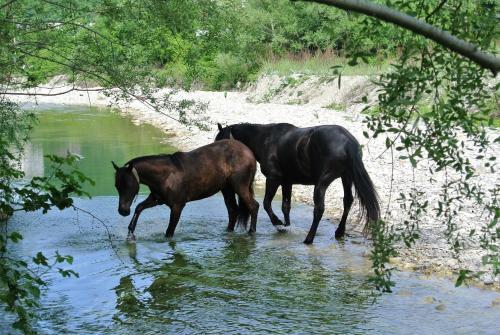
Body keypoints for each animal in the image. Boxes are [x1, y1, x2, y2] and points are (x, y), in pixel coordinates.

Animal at [113, 140, 260, 242]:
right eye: (117, 186)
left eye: (129, 185)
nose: (122, 211)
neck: (166, 175)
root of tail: (249, 152)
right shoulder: (157, 199)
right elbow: (139, 207)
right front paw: (131, 232)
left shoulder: (177, 207)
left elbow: (169, 233)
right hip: (227, 189)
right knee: (233, 210)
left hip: (240, 187)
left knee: (254, 206)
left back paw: (252, 232)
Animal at [215, 123, 378, 244]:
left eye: (221, 141)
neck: (265, 139)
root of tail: (347, 141)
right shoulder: (287, 182)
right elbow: (285, 207)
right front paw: (287, 227)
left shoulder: (273, 179)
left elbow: (267, 203)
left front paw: (278, 223)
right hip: (346, 177)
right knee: (347, 201)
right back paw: (339, 232)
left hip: (322, 183)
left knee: (319, 209)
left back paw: (309, 239)